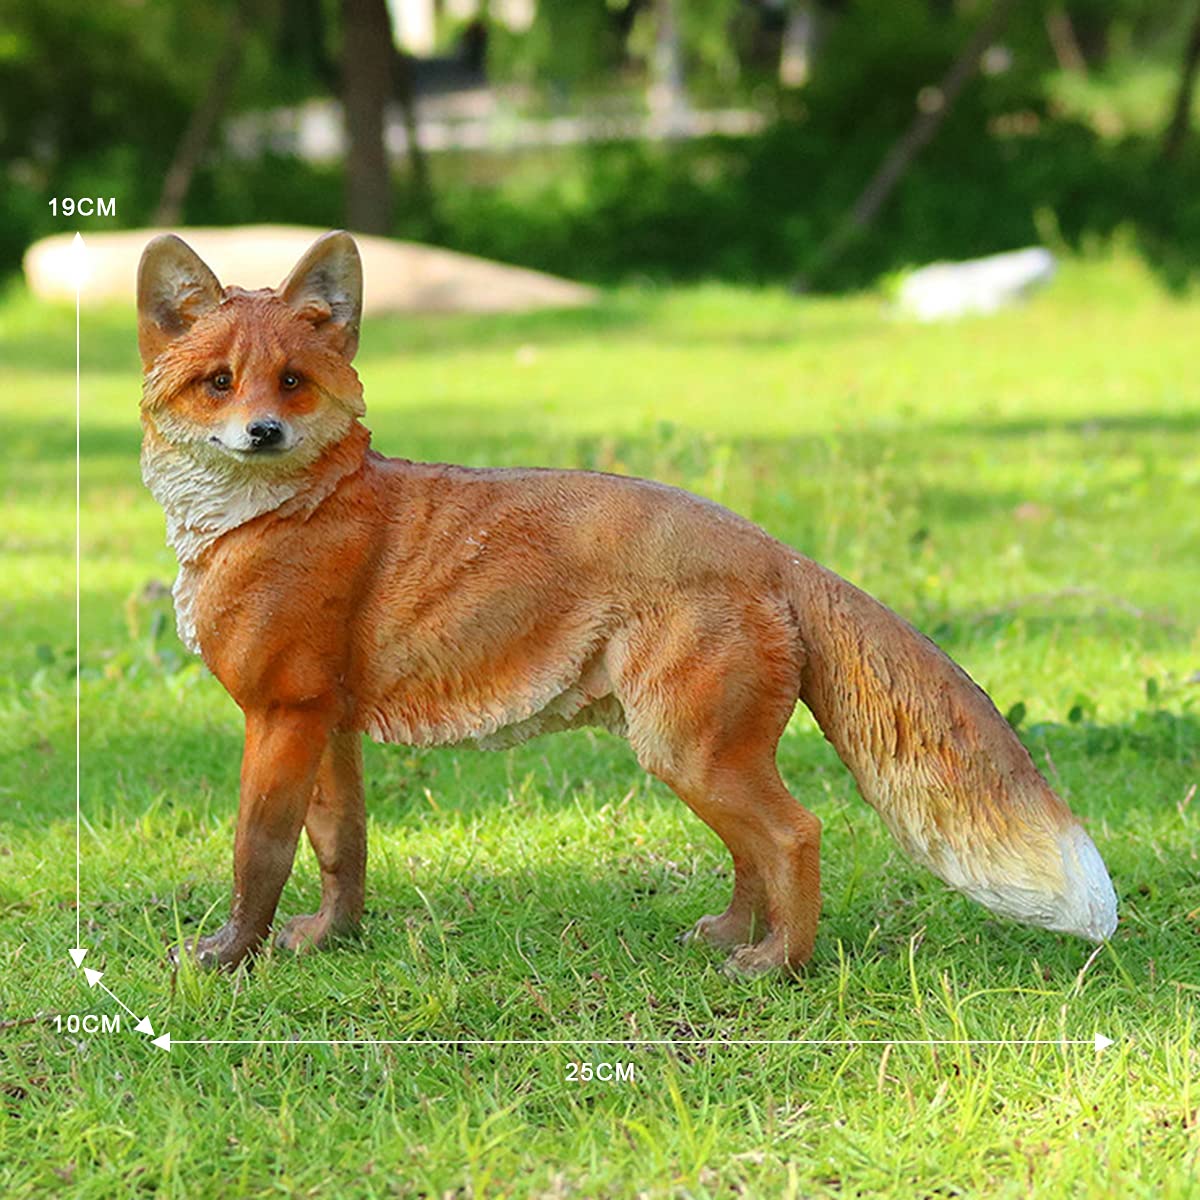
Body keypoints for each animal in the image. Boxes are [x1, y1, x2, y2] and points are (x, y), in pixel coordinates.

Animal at [136, 230, 1118, 977]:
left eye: (291, 382)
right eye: (219, 382)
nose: (264, 433)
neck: (272, 516)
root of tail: (770, 546)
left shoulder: (283, 713)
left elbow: (257, 851)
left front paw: (228, 958)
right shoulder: (325, 721)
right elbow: (342, 848)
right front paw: (328, 942)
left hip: (688, 749)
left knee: (795, 834)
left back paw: (778, 965)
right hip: (692, 751)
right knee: (754, 848)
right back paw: (733, 936)